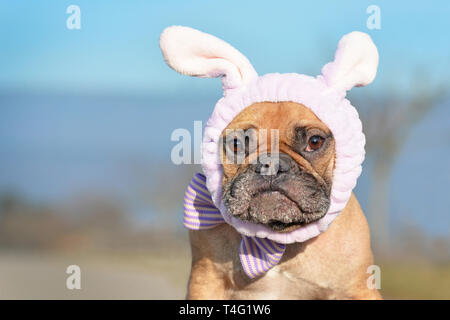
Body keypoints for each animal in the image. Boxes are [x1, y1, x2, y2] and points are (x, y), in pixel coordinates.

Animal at [160, 26, 382, 298]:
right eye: (237, 144)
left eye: (315, 141)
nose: (270, 165)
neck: (278, 239)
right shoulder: (206, 280)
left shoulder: (357, 288)